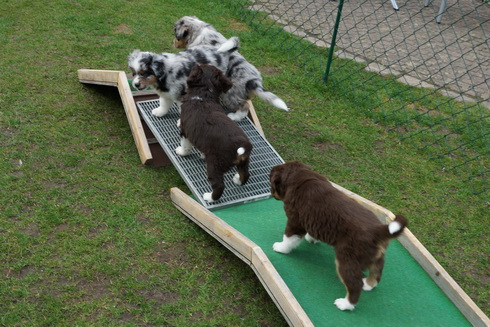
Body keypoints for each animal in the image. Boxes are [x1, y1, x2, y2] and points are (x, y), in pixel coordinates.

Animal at [175, 64, 253, 202]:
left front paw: (181, 152)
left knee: (219, 185)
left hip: (214, 165)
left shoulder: (186, 131)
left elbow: (186, 146)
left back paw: (209, 197)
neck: (204, 96)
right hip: (244, 161)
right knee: (245, 175)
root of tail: (241, 144)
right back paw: (238, 180)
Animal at [270, 161, 408, 312]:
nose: (271, 193)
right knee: (376, 272)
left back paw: (345, 304)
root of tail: (378, 229)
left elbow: (288, 238)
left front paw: (280, 248)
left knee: (355, 284)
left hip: (347, 259)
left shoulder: (295, 221)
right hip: (376, 257)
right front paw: (312, 239)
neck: (300, 176)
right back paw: (368, 284)